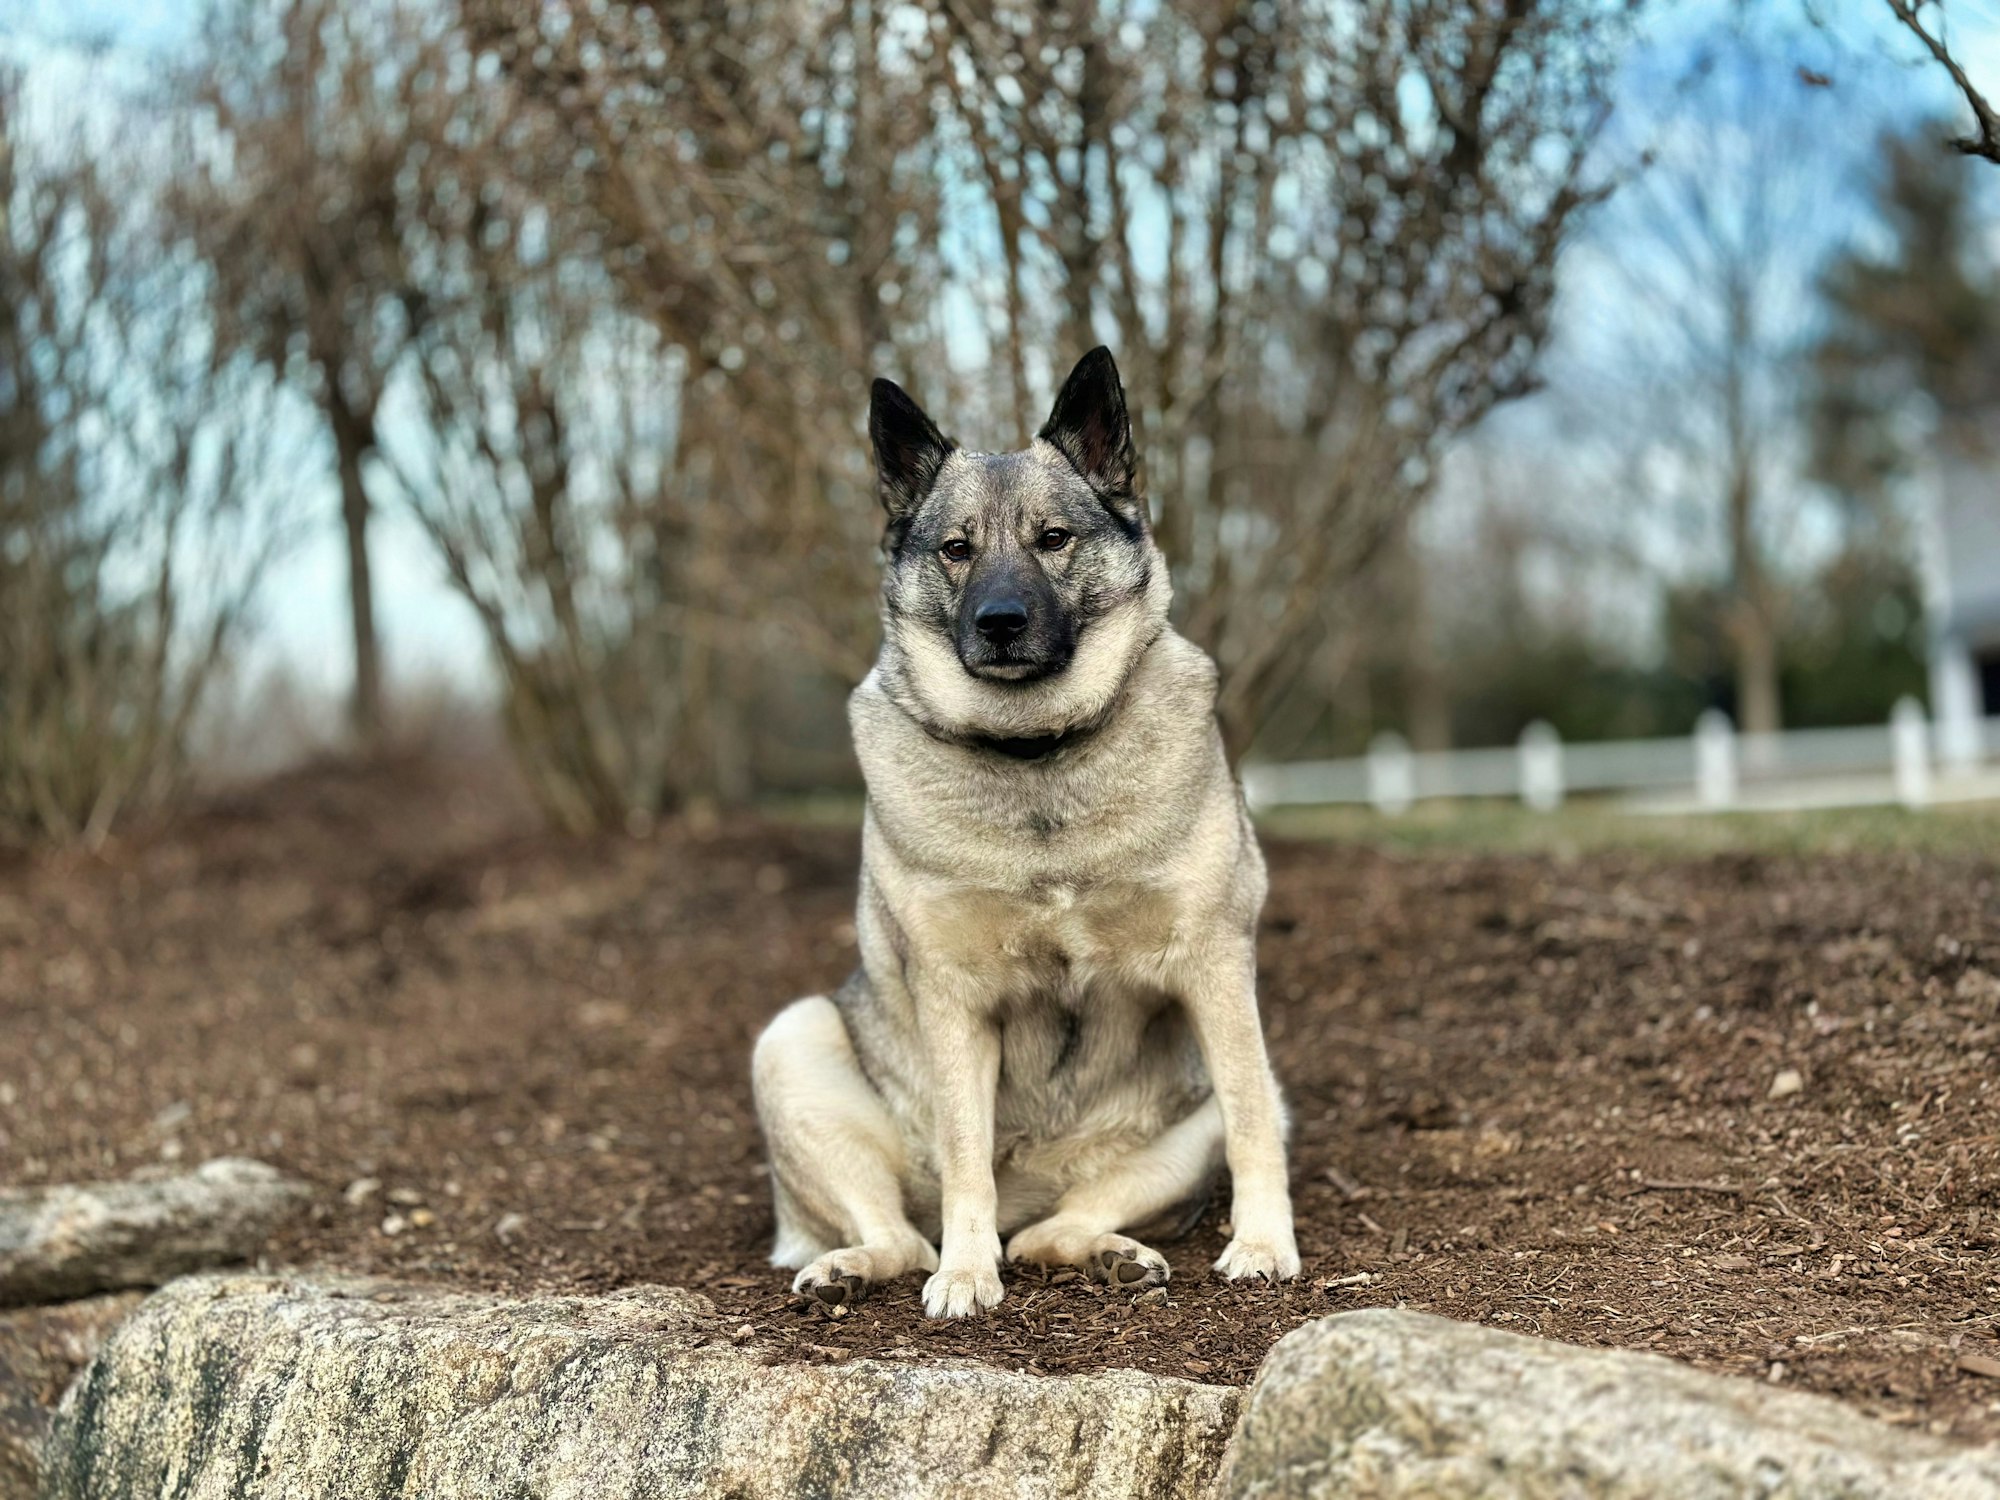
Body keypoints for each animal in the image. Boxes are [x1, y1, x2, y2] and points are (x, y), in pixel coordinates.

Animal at [752, 350, 1296, 1312]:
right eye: (956, 549)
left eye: (1053, 539)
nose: (999, 622)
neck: (1037, 754)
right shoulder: (955, 996)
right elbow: (967, 1153)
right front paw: (969, 1276)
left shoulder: (1216, 965)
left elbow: (1249, 1121)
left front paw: (1263, 1242)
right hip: (792, 1041)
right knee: (905, 1236)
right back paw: (860, 1267)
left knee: (1054, 1228)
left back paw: (1110, 1253)